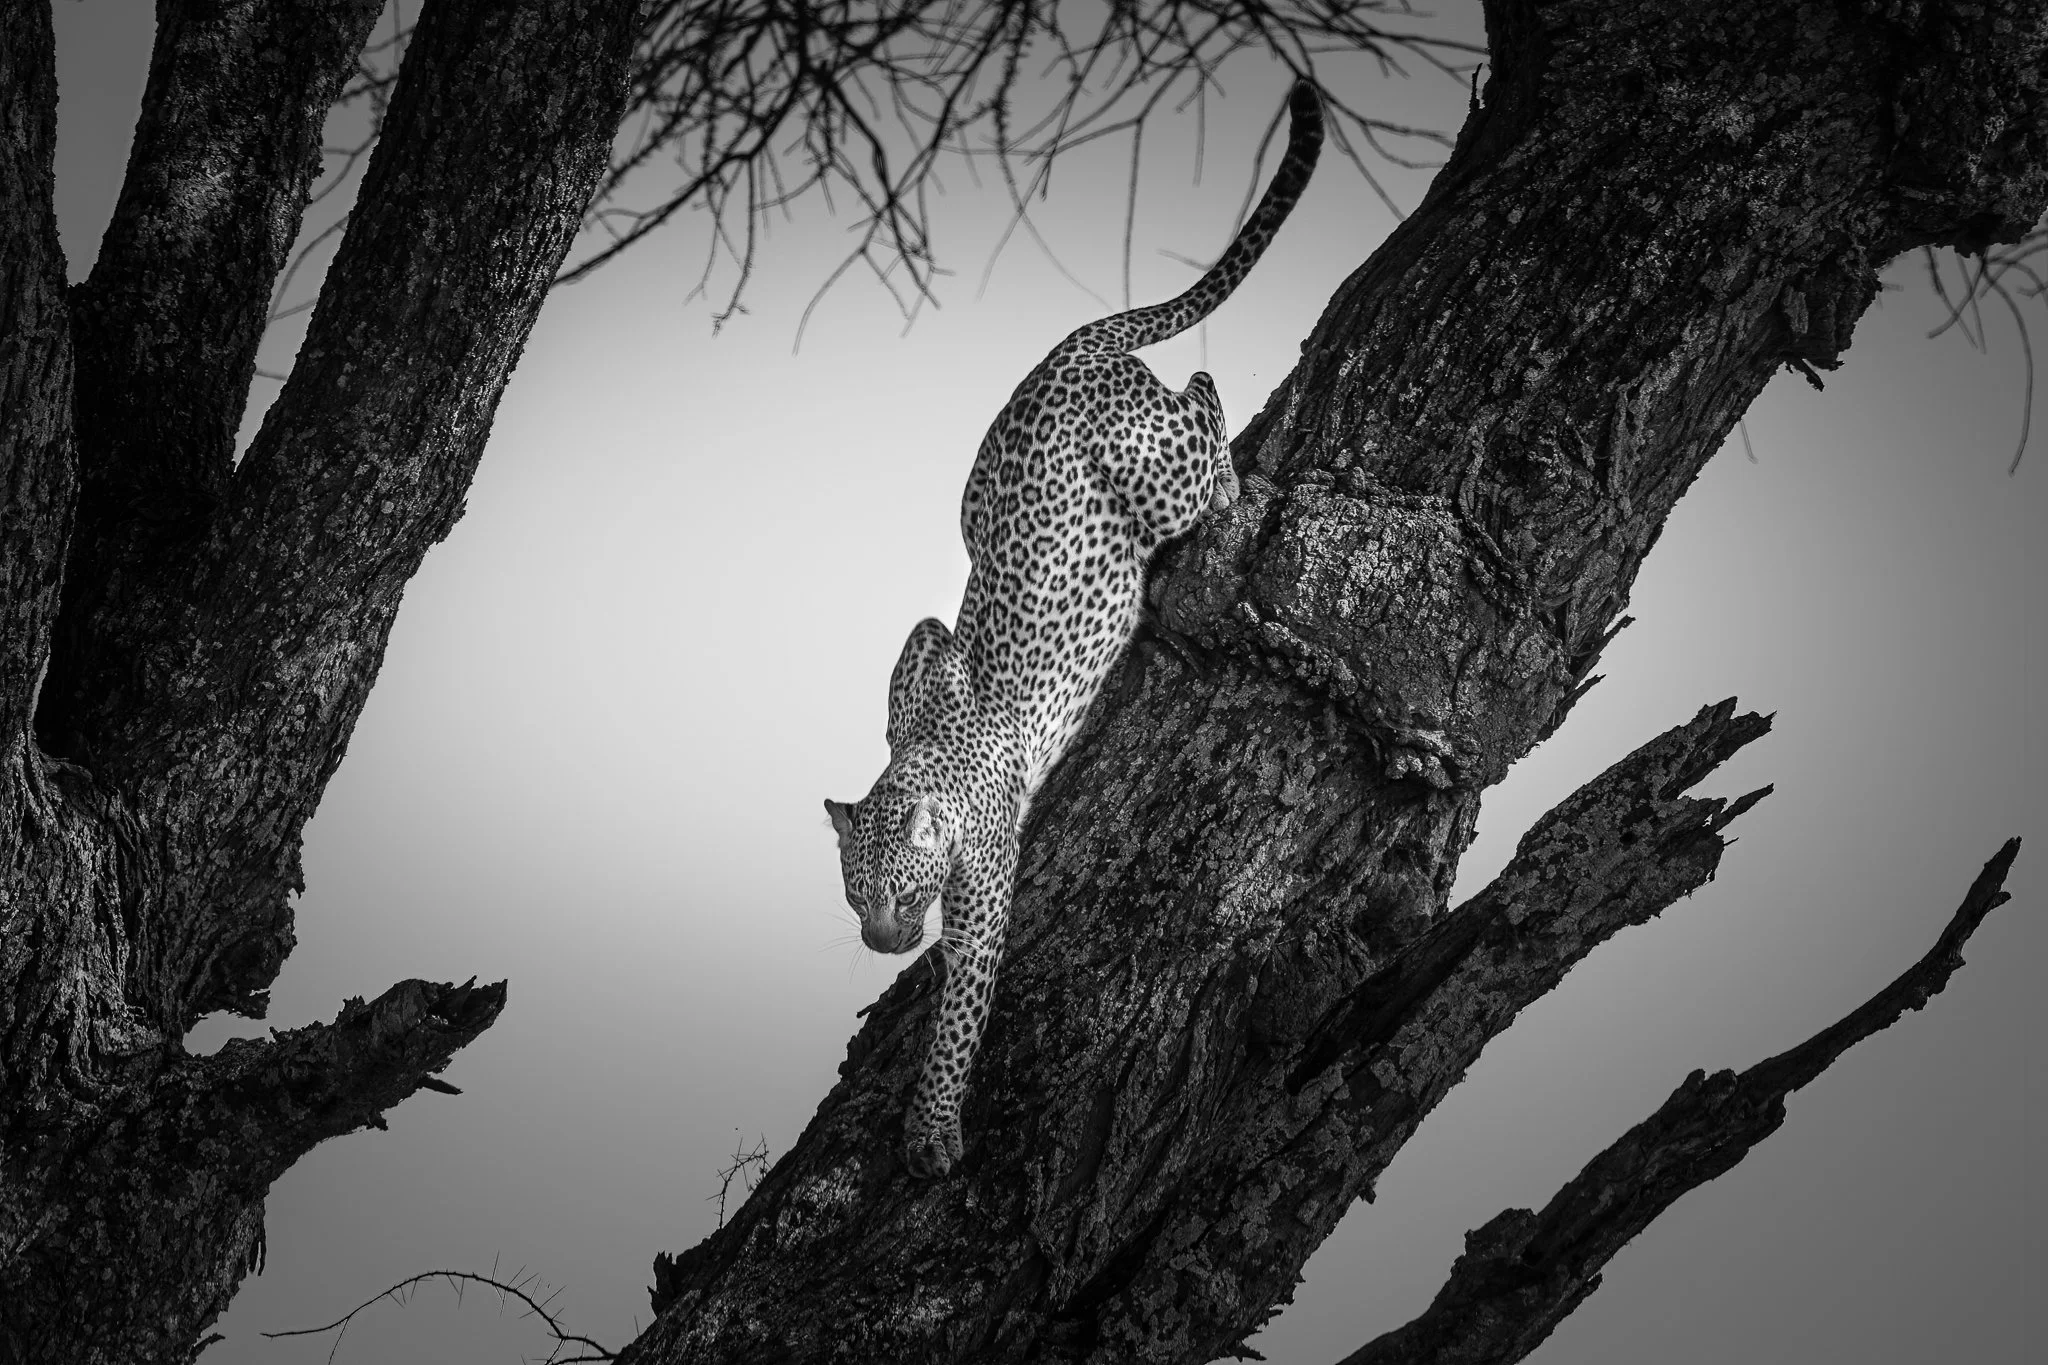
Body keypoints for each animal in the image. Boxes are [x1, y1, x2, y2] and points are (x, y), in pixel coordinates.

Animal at [825, 81, 1323, 1179]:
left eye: (903, 889)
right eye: (852, 896)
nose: (881, 945)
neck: (925, 771)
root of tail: (1066, 351)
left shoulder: (978, 906)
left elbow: (958, 1024)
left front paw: (930, 1133)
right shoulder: (925, 639)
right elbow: (927, 639)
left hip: (1153, 475)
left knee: (1202, 403)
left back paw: (1234, 485)